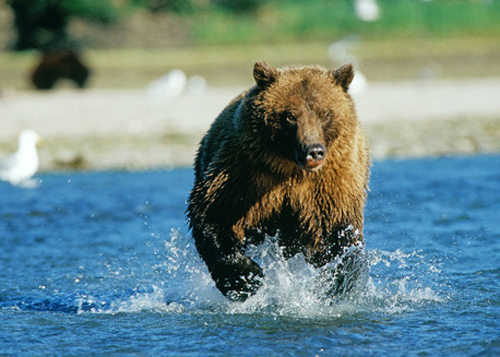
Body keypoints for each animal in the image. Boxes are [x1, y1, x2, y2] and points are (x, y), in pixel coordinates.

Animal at [186, 62, 370, 300]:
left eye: (325, 113)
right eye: (290, 115)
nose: (314, 151)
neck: (290, 168)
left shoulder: (332, 186)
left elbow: (340, 236)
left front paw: (336, 283)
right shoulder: (242, 173)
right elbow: (213, 214)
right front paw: (246, 278)